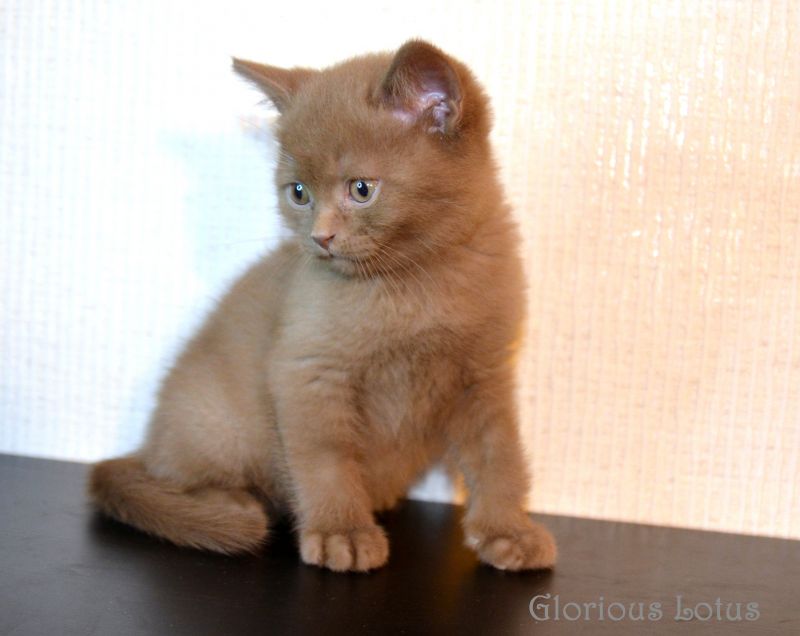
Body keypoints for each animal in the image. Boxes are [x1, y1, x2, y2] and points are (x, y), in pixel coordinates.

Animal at [88, 40, 557, 572]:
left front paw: (508, 532)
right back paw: (231, 503)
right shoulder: (308, 369)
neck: (416, 280)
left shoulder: (485, 375)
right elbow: (326, 459)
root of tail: (146, 446)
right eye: (299, 193)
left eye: (361, 189)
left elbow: (499, 455)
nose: (320, 238)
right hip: (213, 422)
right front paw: (341, 533)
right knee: (177, 477)